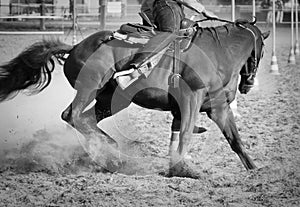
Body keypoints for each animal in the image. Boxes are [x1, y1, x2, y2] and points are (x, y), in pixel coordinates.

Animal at [0, 19, 270, 178]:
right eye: (262, 51)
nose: (248, 84)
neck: (216, 54)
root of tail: (75, 47)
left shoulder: (218, 108)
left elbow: (235, 140)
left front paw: (255, 170)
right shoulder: (190, 99)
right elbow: (185, 135)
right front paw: (184, 168)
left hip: (112, 99)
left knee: (84, 120)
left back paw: (107, 152)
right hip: (91, 87)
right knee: (73, 115)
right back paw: (110, 151)